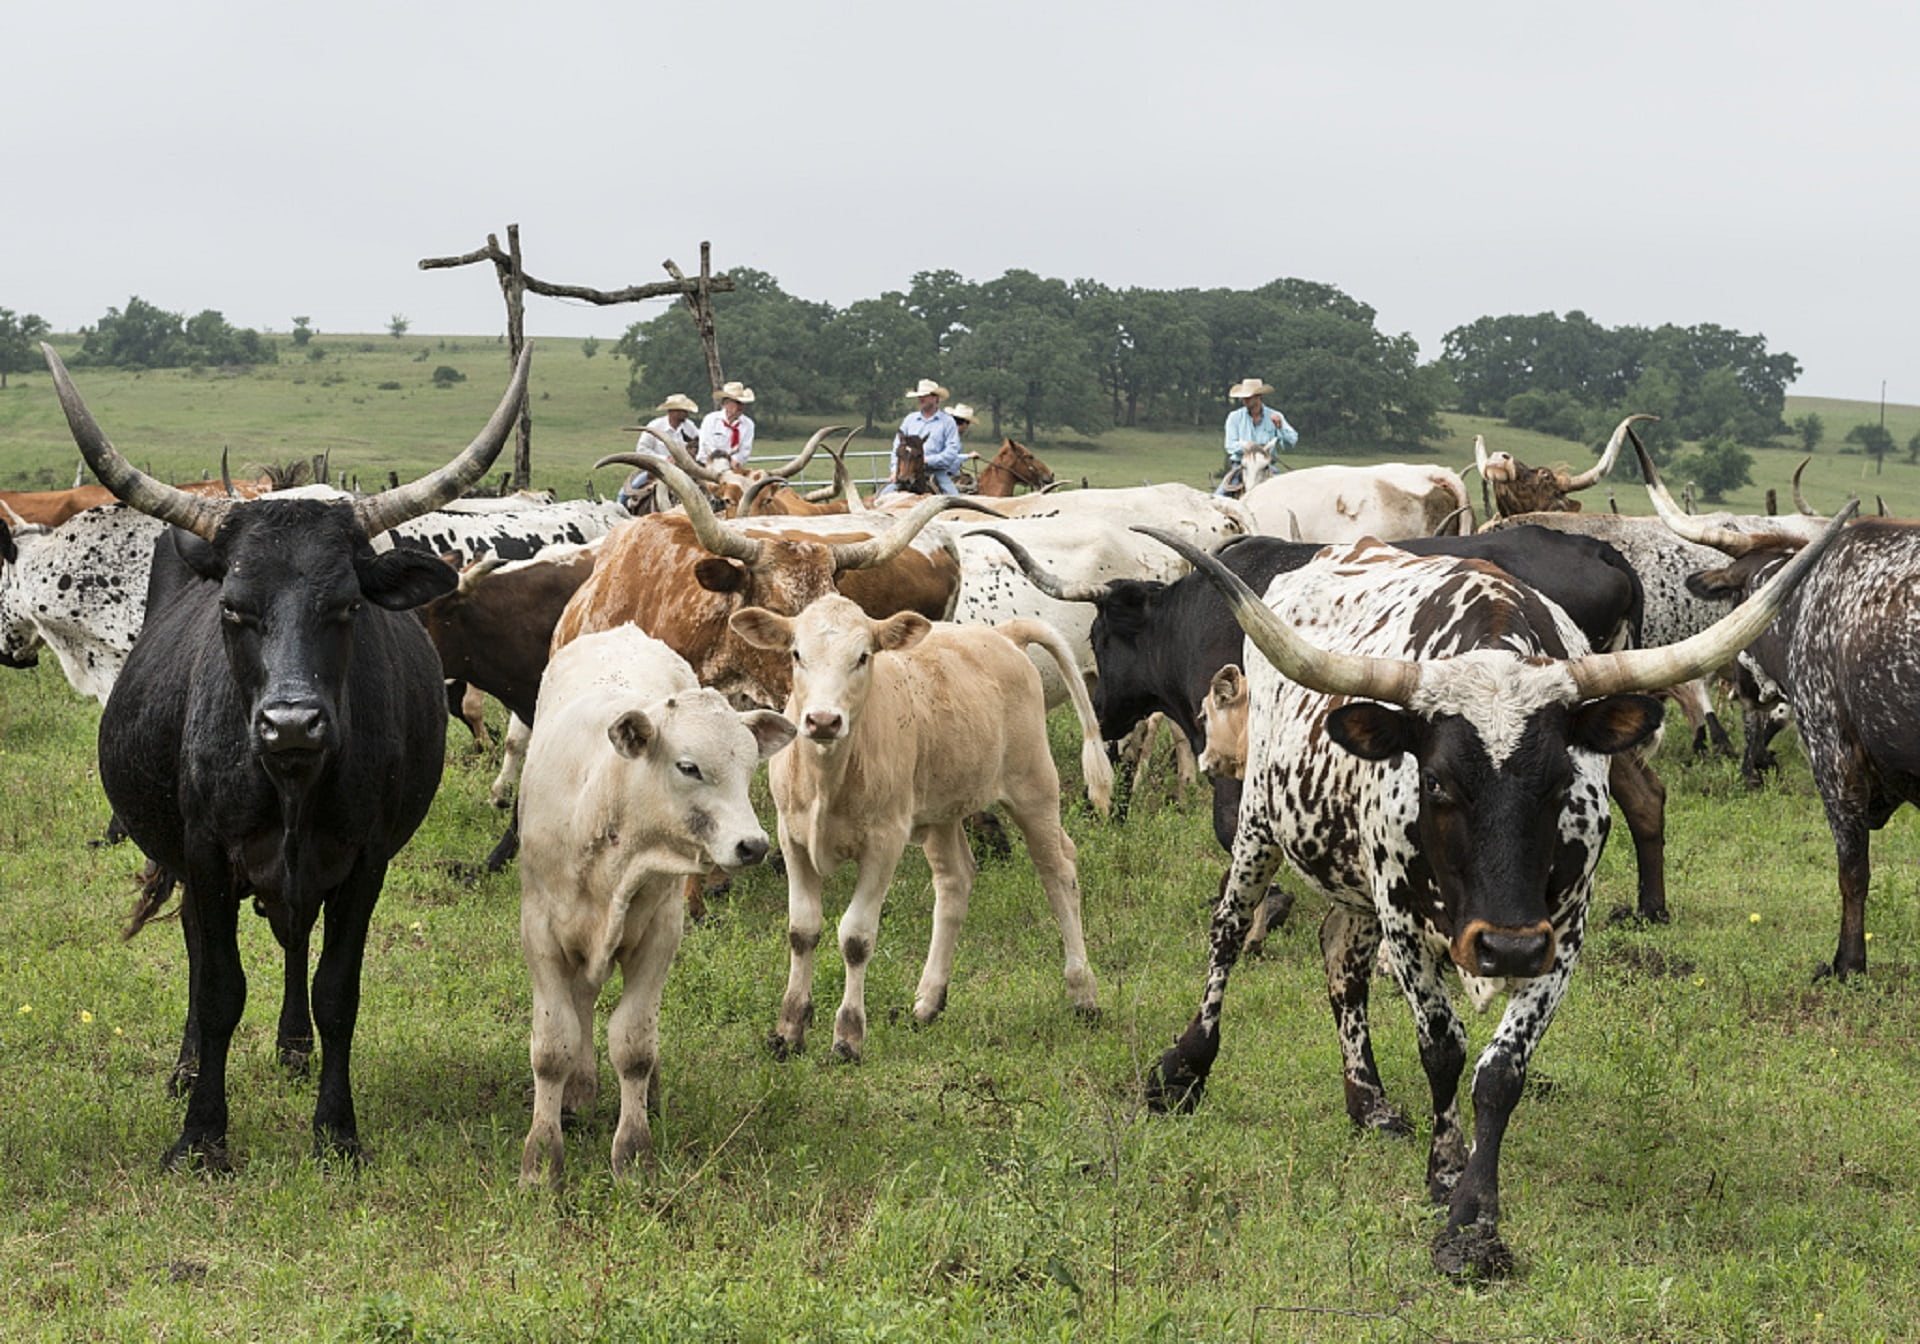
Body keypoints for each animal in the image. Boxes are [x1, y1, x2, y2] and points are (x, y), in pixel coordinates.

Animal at [43, 341, 531, 1170]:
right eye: (235, 609)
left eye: (346, 606)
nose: (292, 724)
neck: (292, 782)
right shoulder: (206, 855)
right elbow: (218, 989)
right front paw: (201, 1135)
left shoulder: (366, 861)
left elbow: (338, 990)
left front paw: (336, 1128)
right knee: (199, 943)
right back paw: (187, 1067)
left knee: (296, 935)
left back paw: (293, 1046)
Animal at [517, 626, 794, 1189]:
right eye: (689, 766)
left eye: (749, 766)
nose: (753, 845)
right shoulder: (541, 935)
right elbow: (553, 1046)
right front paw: (541, 1160)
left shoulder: (659, 937)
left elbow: (634, 1044)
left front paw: (634, 1151)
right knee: (581, 1003)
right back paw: (579, 1088)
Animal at [730, 594, 1113, 1062]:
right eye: (796, 654)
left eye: (863, 656)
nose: (822, 720)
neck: (828, 776)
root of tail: (1003, 634)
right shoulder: (792, 837)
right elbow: (802, 930)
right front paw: (788, 1030)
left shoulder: (885, 842)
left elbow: (856, 937)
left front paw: (848, 1036)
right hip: (941, 813)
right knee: (955, 882)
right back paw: (929, 1001)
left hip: (1034, 785)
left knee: (1058, 872)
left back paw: (1083, 992)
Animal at [1133, 511, 1843, 1278]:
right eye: (1439, 783)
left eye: (1561, 781)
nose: (1505, 947)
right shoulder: (1404, 920)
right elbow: (1443, 1049)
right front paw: (1444, 1171)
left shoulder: (1561, 933)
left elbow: (1501, 1072)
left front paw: (1474, 1218)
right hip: (1261, 821)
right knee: (1228, 933)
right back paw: (1183, 1069)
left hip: (1354, 875)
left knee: (1340, 960)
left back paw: (1368, 1101)